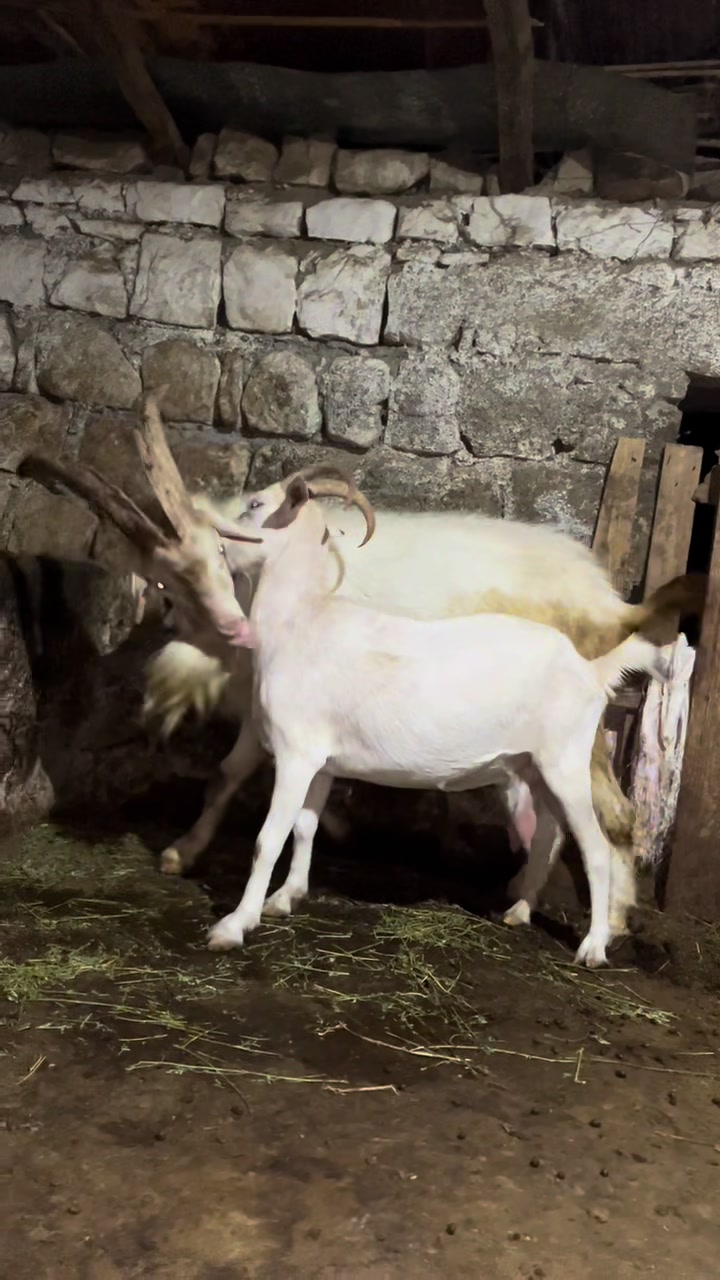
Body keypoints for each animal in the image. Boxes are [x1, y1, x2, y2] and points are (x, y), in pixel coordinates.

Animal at [145, 469, 704, 939]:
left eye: (256, 504)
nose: (215, 543)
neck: (304, 620)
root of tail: (595, 663)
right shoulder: (321, 758)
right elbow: (304, 828)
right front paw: (286, 897)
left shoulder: (296, 752)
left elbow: (269, 836)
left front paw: (235, 924)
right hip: (535, 764)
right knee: (551, 829)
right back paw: (520, 910)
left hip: (566, 760)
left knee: (599, 838)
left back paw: (596, 941)